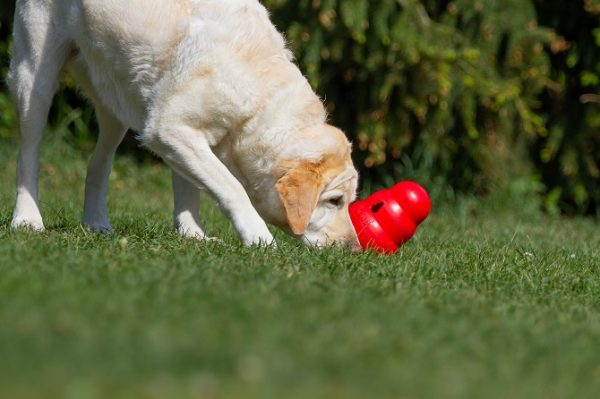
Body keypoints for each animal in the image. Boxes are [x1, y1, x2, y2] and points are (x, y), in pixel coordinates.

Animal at [9, 0, 358, 248]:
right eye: (334, 201)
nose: (354, 249)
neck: (258, 91)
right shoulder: (170, 128)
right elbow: (229, 186)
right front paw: (260, 239)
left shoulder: (184, 136)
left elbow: (192, 189)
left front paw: (194, 236)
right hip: (34, 79)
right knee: (28, 154)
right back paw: (27, 219)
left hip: (116, 103)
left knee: (99, 163)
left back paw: (95, 223)